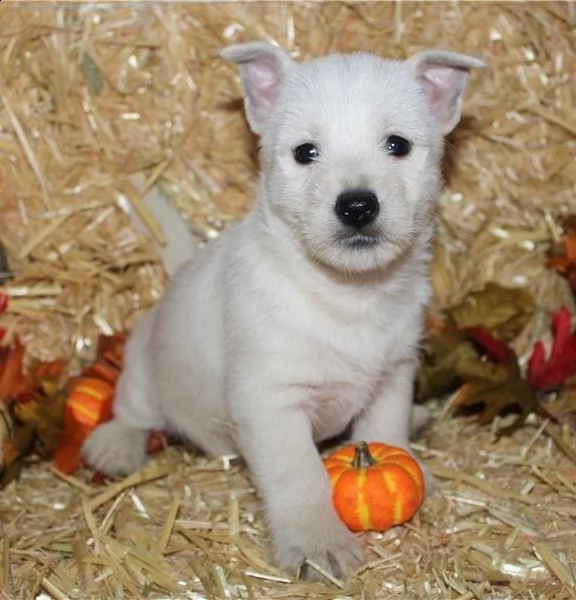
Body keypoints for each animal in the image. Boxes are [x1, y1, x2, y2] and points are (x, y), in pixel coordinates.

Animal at [83, 41, 484, 576]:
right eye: (305, 152)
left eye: (397, 145)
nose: (357, 207)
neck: (347, 293)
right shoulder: (271, 403)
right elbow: (299, 476)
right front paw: (317, 543)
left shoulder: (393, 376)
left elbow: (386, 430)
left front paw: (405, 456)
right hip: (145, 370)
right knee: (132, 410)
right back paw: (114, 446)